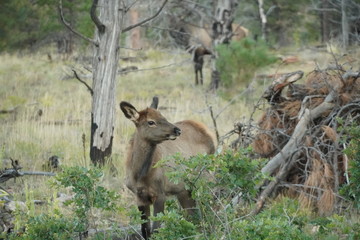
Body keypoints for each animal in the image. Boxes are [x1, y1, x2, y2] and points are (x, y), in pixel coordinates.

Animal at [119, 96, 215, 239]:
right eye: (151, 122)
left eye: (163, 117)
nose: (177, 130)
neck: (139, 174)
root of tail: (209, 132)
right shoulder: (139, 197)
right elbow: (145, 231)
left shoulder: (160, 193)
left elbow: (156, 230)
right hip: (184, 189)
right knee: (193, 216)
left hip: (205, 179)